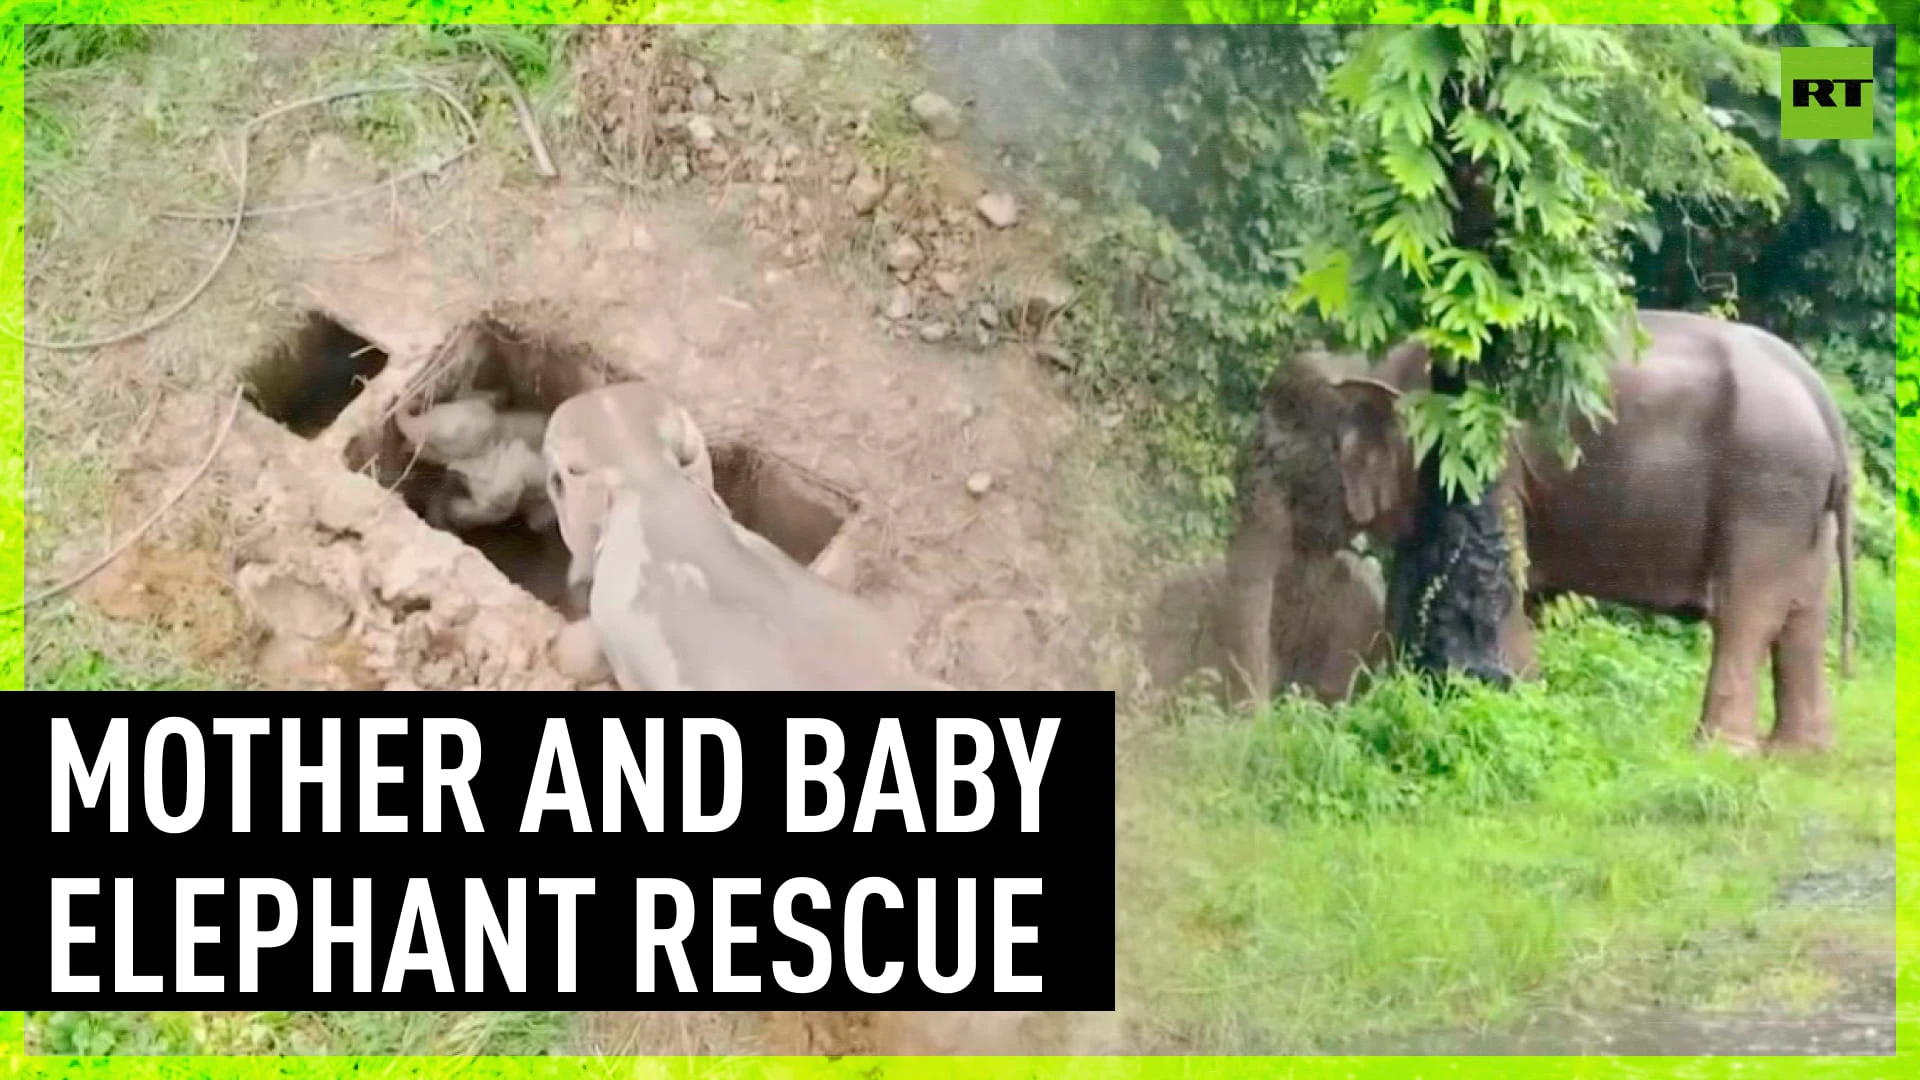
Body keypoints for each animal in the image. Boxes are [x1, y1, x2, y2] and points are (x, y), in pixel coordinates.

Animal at [1221, 307, 1850, 753]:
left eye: (1275, 462)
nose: (1263, 727)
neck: (1372, 365)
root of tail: (1824, 400)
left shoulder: (1485, 458)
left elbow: (1498, 580)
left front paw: (1514, 703)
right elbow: (1410, 584)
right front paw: (1401, 700)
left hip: (1766, 489)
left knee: (1748, 615)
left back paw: (1718, 752)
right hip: (1800, 509)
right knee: (1803, 617)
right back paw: (1797, 755)